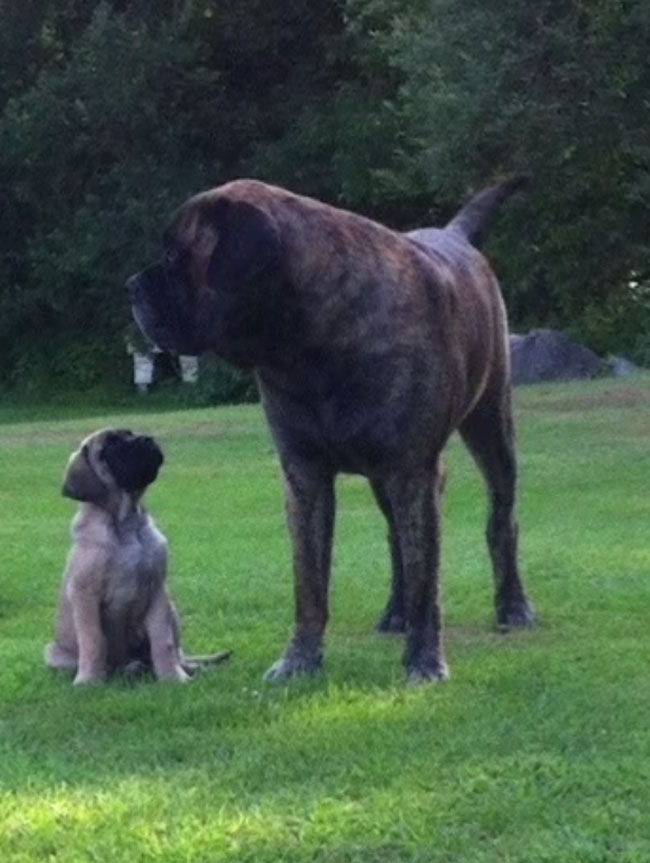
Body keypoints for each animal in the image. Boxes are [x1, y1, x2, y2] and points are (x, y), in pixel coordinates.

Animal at [45, 428, 230, 684]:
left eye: (130, 433)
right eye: (110, 446)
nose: (147, 439)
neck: (127, 524)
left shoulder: (157, 592)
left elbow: (163, 642)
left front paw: (173, 678)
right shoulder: (85, 595)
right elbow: (93, 640)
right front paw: (89, 681)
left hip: (172, 610)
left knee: (177, 653)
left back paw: (186, 668)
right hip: (53, 652)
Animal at [125, 179, 532, 684]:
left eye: (173, 256)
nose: (131, 286)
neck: (311, 343)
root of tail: (453, 234)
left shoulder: (414, 472)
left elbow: (427, 579)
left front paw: (424, 660)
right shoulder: (305, 474)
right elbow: (310, 579)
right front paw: (300, 658)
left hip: (492, 429)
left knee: (501, 520)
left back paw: (513, 606)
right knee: (396, 540)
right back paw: (394, 613)